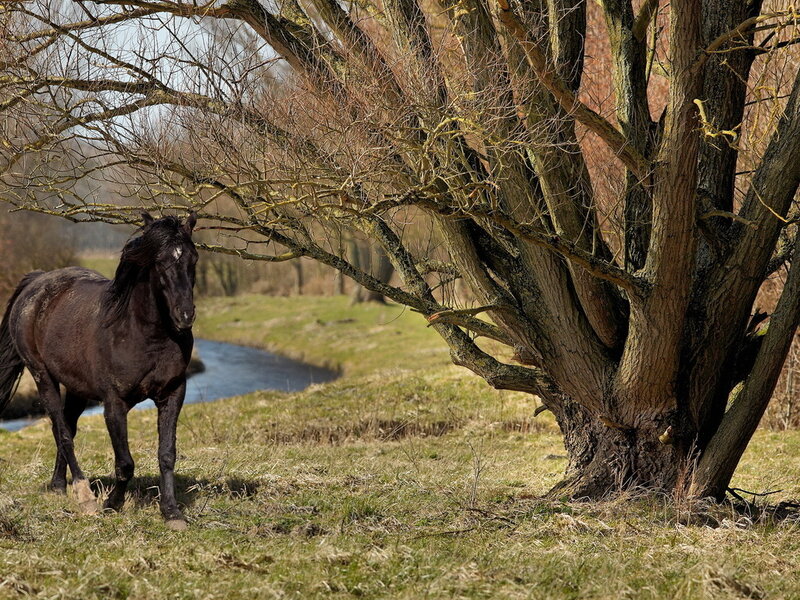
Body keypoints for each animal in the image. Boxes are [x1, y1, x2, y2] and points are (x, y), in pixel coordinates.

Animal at [0, 212, 198, 530]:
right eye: (159, 261)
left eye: (193, 258)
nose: (184, 317)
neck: (144, 334)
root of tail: (37, 281)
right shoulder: (114, 403)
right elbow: (125, 462)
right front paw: (111, 505)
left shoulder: (173, 394)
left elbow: (167, 454)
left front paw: (172, 513)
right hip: (43, 376)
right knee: (62, 432)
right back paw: (84, 496)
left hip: (76, 388)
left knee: (66, 428)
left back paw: (59, 486)